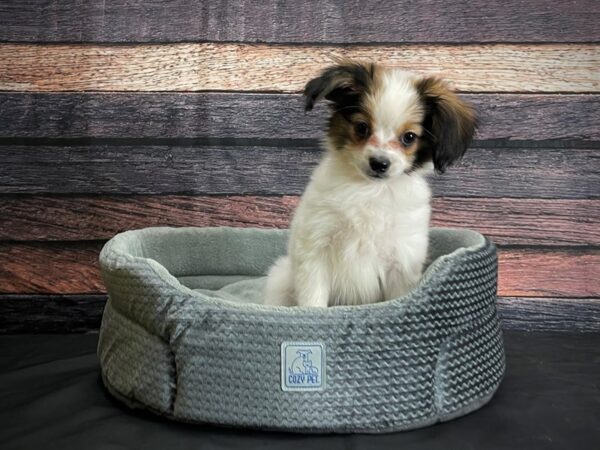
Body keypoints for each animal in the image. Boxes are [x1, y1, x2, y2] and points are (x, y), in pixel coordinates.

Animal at [264, 59, 476, 306]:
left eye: (409, 137)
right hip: (281, 280)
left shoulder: (402, 261)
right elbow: (313, 300)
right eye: (361, 127)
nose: (379, 163)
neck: (369, 190)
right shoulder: (315, 247)